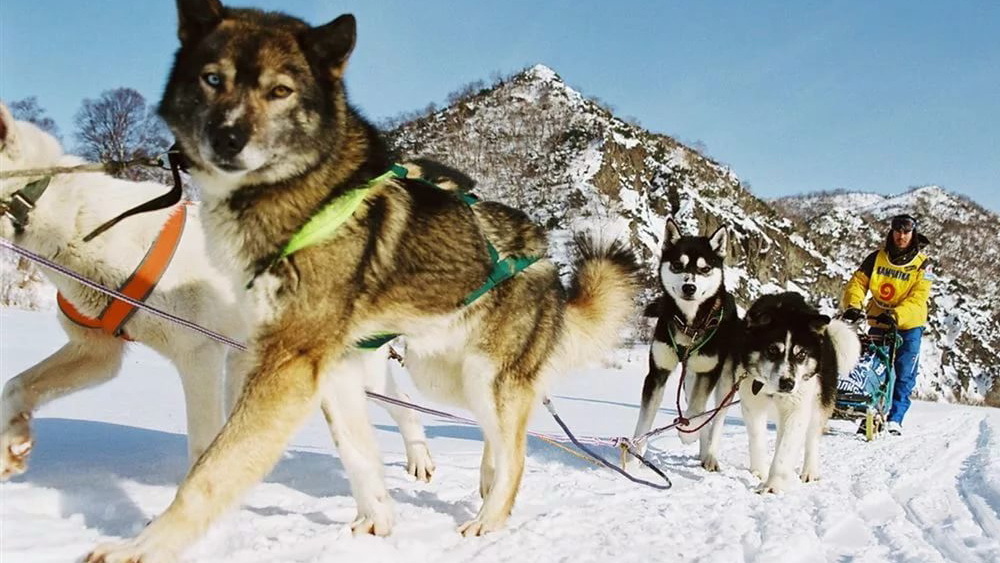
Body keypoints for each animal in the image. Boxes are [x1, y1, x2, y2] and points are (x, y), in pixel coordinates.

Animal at [0, 103, 434, 482]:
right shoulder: (96, 351)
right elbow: (16, 386)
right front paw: (11, 446)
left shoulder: (198, 356)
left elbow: (200, 443)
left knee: (406, 408)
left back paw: (420, 459)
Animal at [84, 2, 632, 560]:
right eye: (213, 79)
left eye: (280, 90)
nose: (227, 138)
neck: (302, 192)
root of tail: (545, 259)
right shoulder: (334, 364)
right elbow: (357, 453)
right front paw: (378, 523)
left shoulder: (290, 362)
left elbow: (212, 472)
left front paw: (141, 546)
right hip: (442, 375)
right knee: (501, 432)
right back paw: (485, 476)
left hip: (484, 376)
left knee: (516, 450)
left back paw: (489, 520)